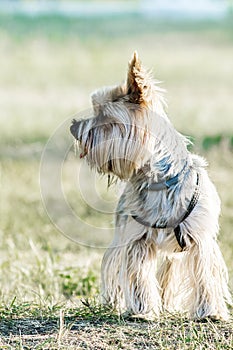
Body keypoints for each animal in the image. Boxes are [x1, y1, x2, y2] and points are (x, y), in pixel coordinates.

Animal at [70, 51, 231, 320]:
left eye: (104, 117)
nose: (73, 127)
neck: (157, 178)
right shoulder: (136, 240)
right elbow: (138, 276)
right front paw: (142, 310)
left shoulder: (200, 239)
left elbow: (204, 275)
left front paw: (208, 312)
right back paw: (113, 303)